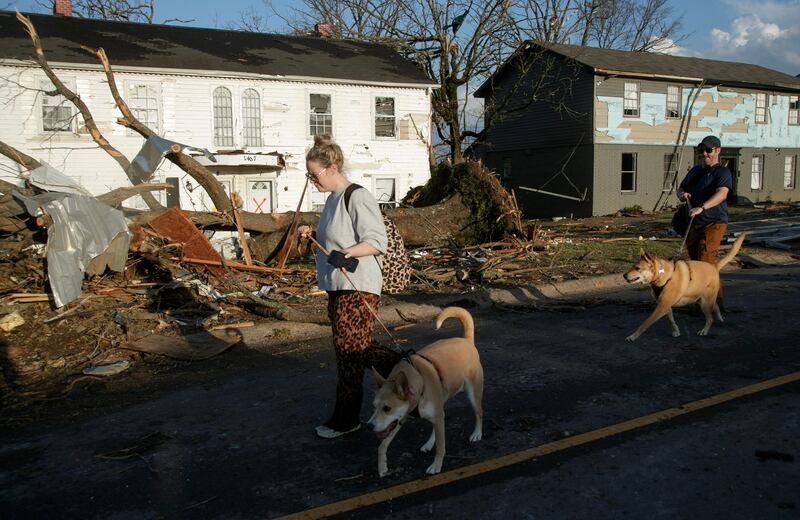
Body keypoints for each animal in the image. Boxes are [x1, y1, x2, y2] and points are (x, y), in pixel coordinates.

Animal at [368, 306, 482, 478]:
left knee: (479, 413)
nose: (369, 426)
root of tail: (466, 340)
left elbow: (441, 447)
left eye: (387, 408)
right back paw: (429, 443)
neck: (418, 381)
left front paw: (436, 466)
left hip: (473, 394)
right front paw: (382, 466)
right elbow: (382, 445)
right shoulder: (399, 419)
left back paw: (477, 433)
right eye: (374, 407)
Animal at [620, 233, 748, 342]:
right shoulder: (665, 305)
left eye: (637, 268)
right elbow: (671, 320)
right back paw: (720, 318)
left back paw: (705, 331)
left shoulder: (661, 307)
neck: (663, 275)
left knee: (710, 318)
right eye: (632, 267)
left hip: (705, 302)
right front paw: (676, 331)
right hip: (703, 300)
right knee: (715, 307)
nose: (624, 275)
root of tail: (714, 266)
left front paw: (633, 336)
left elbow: (645, 323)